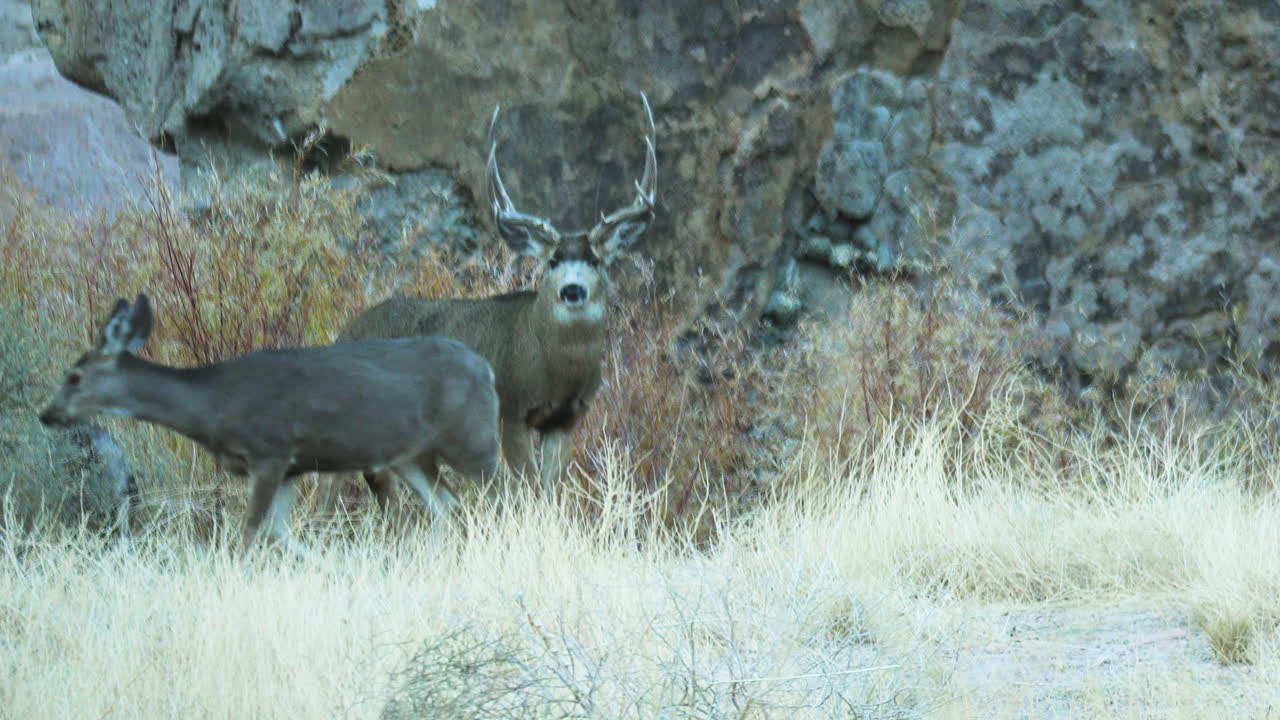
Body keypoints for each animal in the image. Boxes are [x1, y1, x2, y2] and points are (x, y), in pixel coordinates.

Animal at [39, 294, 500, 555]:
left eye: (74, 376)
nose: (47, 414)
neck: (213, 405)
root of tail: (486, 367)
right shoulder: (291, 469)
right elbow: (278, 531)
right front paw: (328, 567)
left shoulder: (271, 452)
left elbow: (249, 531)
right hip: (410, 456)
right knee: (447, 505)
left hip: (472, 438)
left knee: (499, 495)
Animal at [320, 95, 657, 514]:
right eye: (552, 261)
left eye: (596, 260)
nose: (572, 290)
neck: (555, 366)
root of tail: (344, 331)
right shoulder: (510, 407)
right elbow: (527, 487)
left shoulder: (566, 419)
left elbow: (551, 489)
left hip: (410, 444)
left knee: (432, 500)